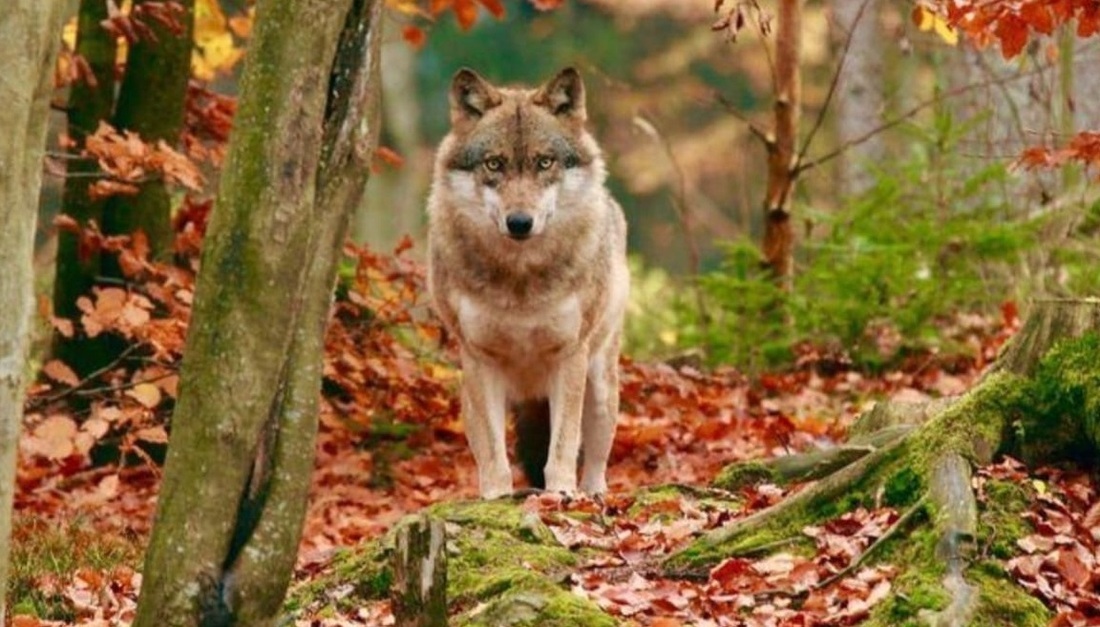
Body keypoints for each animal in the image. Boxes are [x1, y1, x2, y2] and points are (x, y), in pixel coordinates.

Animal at [424, 67, 629, 497]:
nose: (519, 222)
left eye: (544, 162)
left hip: (600, 386)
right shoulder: (480, 360)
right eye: (494, 164)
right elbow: (493, 454)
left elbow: (563, 445)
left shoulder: (569, 355)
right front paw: (496, 497)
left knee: (597, 458)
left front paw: (561, 493)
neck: (520, 283)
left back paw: (593, 494)